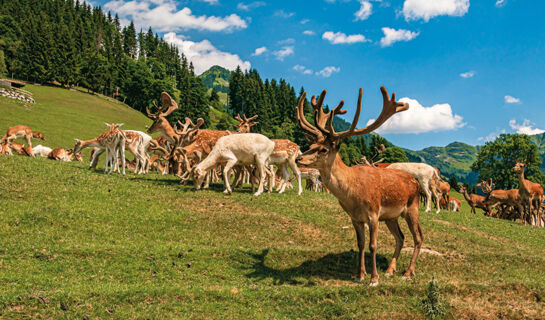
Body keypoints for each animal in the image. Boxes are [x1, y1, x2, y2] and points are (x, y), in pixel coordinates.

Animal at [294, 85, 420, 284]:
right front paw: (360, 275)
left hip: (412, 207)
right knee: (400, 237)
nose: (298, 158)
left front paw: (374, 279)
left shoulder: (373, 214)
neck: (352, 194)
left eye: (323, 149)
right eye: (311, 145)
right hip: (391, 216)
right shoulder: (355, 217)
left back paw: (407, 273)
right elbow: (360, 244)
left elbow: (373, 245)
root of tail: (416, 182)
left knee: (418, 238)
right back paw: (390, 270)